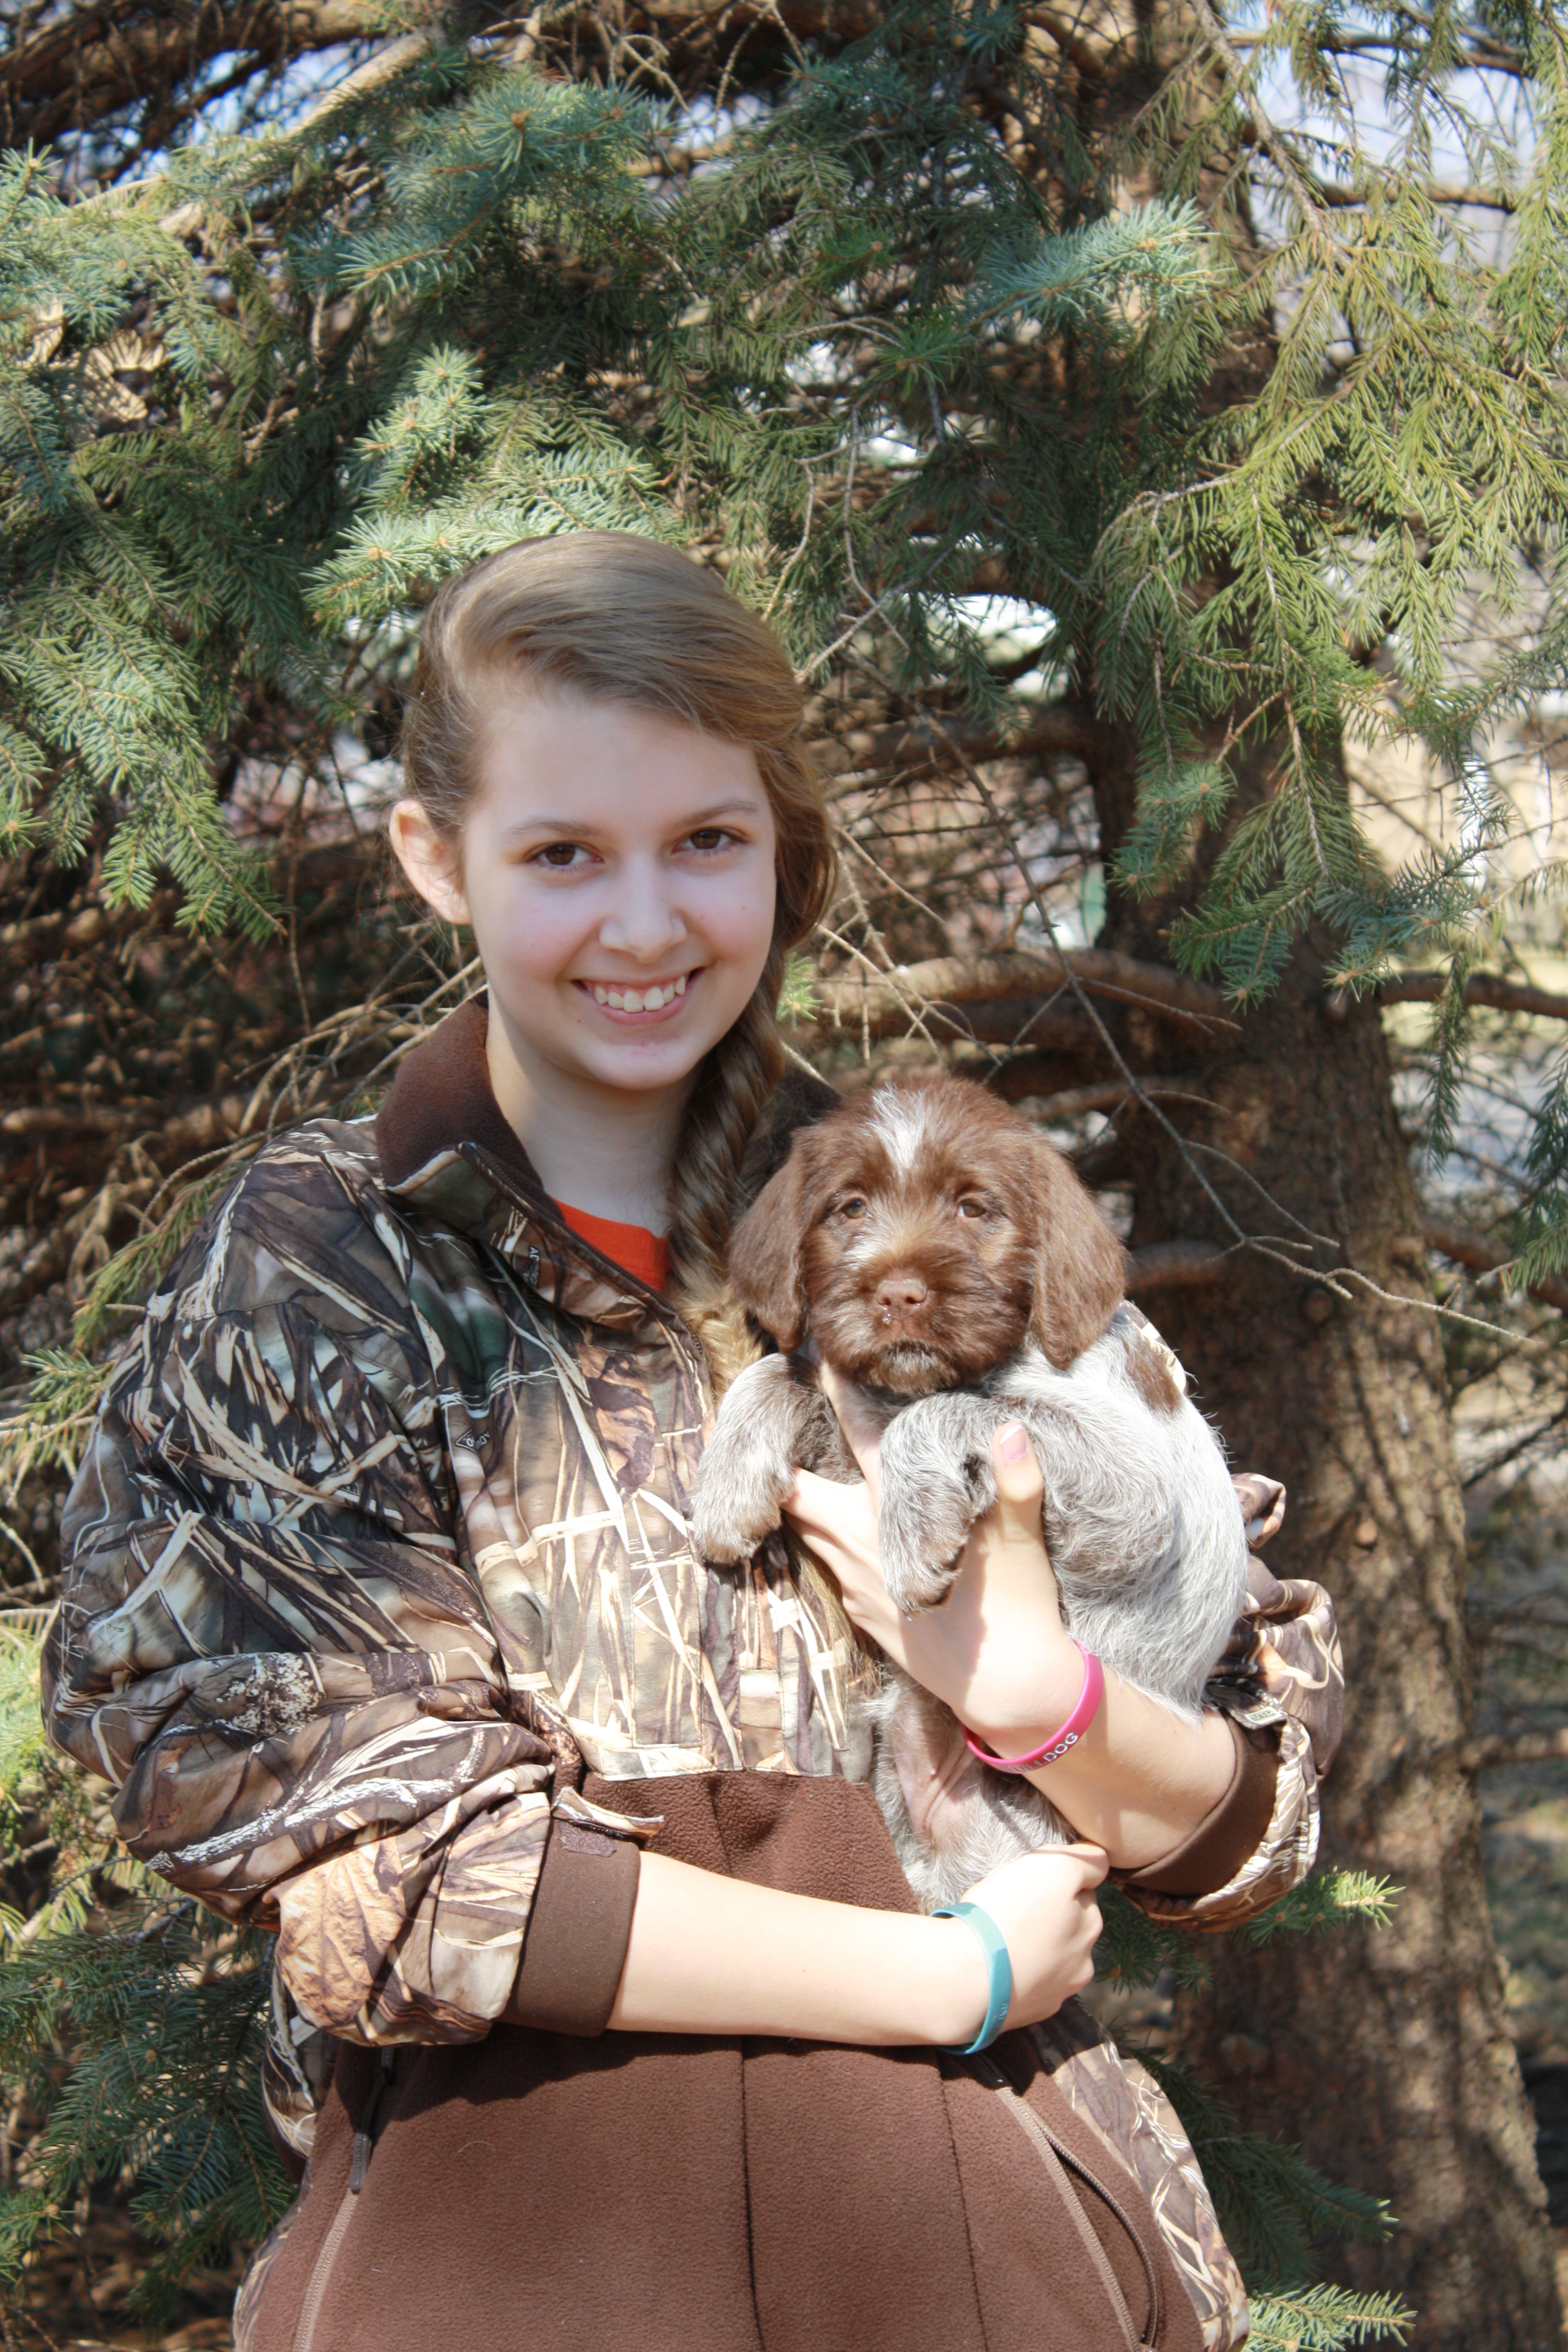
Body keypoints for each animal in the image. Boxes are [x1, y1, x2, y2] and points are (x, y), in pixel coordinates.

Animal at [688, 1071, 1256, 1908]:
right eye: (849, 1208)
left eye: (975, 1208)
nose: (897, 1295)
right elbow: (783, 1371)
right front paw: (726, 1484)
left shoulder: (1131, 1497)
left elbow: (939, 1412)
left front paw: (914, 1531)